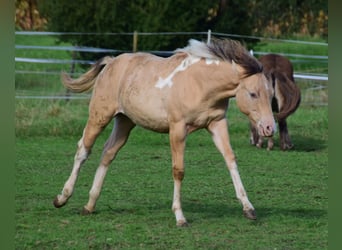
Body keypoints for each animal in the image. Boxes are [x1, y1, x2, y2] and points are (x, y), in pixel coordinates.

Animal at [52, 38, 276, 226]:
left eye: (271, 94)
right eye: (253, 94)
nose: (269, 128)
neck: (200, 83)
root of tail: (112, 62)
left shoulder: (217, 124)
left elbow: (231, 160)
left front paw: (248, 208)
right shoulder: (177, 129)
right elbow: (178, 170)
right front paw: (180, 217)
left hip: (125, 122)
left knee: (108, 153)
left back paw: (89, 205)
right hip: (99, 116)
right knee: (83, 150)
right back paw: (62, 198)